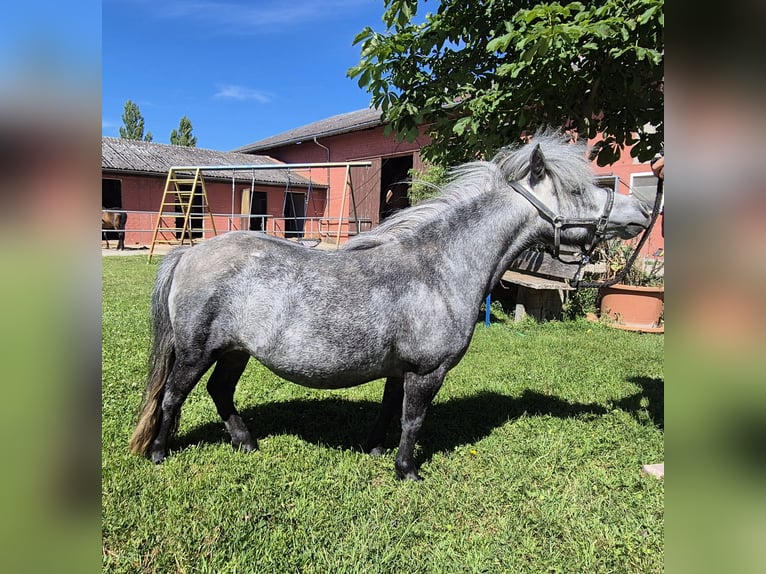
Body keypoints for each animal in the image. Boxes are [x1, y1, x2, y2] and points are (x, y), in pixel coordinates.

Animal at [128, 132, 651, 481]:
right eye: (579, 190)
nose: (643, 212)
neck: (440, 268)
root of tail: (188, 253)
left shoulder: (399, 369)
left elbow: (388, 410)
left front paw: (377, 451)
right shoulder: (428, 371)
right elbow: (413, 419)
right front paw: (407, 469)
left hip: (235, 351)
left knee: (220, 392)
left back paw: (246, 442)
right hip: (196, 352)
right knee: (173, 396)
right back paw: (159, 453)